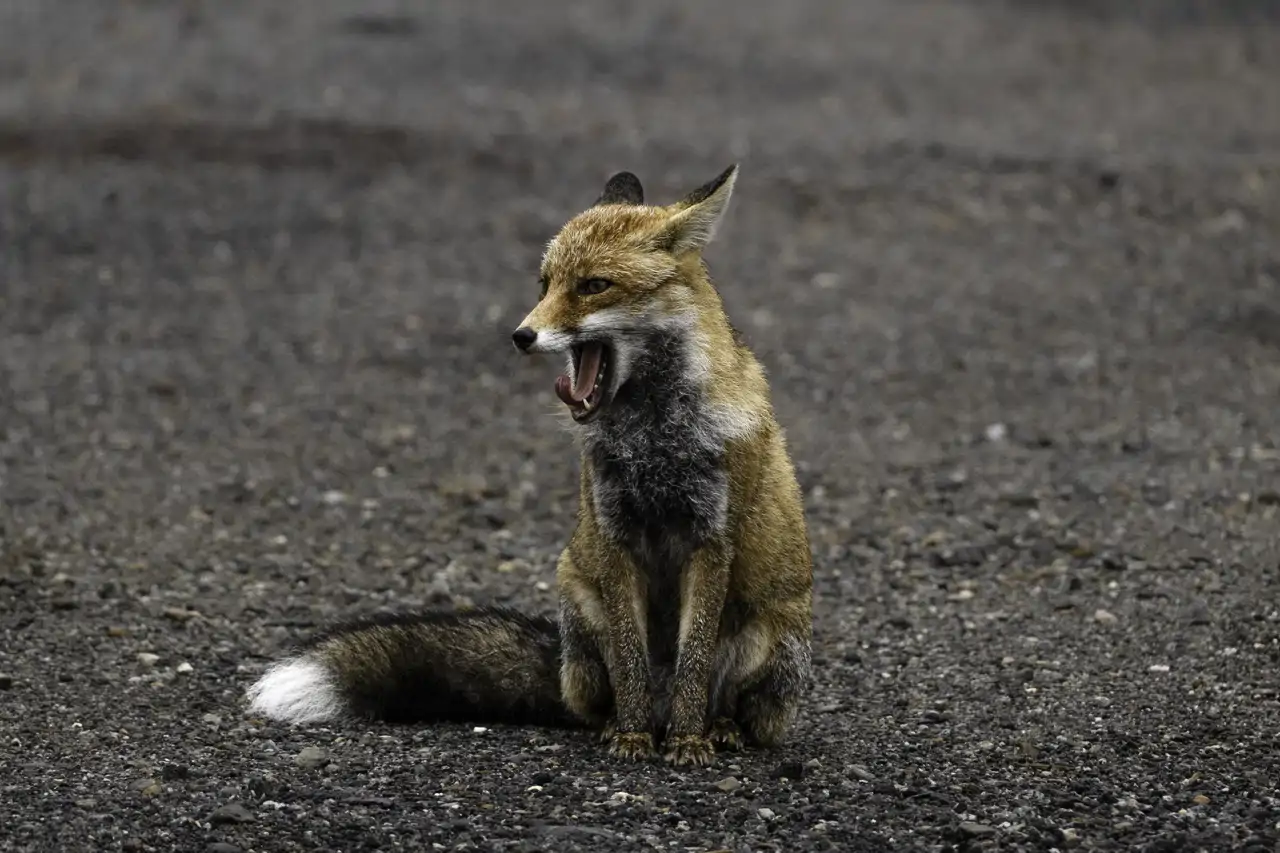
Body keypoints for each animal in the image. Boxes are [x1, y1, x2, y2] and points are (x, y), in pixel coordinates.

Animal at [245, 164, 814, 766]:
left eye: (594, 286)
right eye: (545, 285)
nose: (521, 336)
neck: (653, 441)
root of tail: (561, 667)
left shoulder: (710, 539)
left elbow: (694, 663)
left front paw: (686, 741)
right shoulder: (614, 532)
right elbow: (631, 662)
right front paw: (634, 736)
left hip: (768, 638)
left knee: (729, 702)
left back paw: (718, 727)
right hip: (580, 609)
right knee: (600, 700)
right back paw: (623, 723)